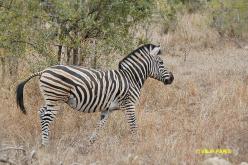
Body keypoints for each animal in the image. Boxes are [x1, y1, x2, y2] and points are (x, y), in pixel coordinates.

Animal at [15, 43, 174, 146]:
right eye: (161, 63)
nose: (172, 79)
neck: (131, 77)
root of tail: (44, 70)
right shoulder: (128, 104)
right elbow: (133, 124)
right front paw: (136, 144)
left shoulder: (107, 109)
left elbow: (100, 125)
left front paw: (90, 142)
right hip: (56, 99)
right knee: (46, 117)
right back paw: (45, 144)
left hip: (51, 100)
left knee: (41, 112)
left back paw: (43, 142)